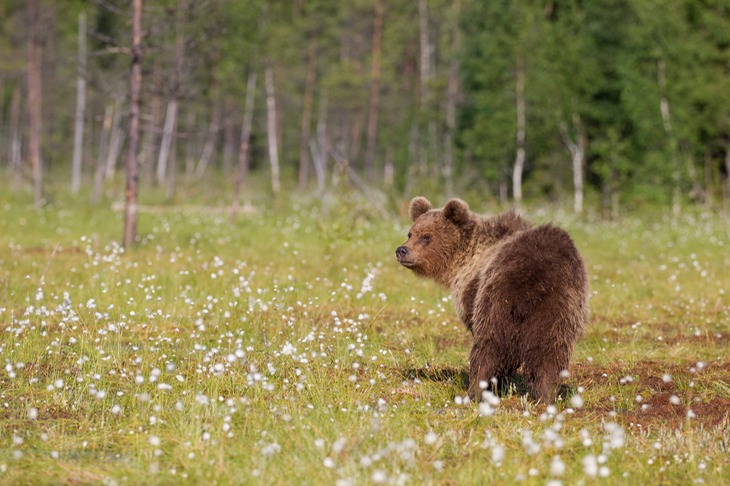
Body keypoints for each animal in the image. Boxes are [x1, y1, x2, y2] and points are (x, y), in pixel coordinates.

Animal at [392, 196, 584, 402]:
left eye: (426, 236)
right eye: (410, 233)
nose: (402, 250)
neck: (465, 259)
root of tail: (533, 279)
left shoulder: (472, 291)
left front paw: (499, 383)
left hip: (495, 299)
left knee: (489, 347)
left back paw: (475, 390)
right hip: (559, 307)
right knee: (551, 352)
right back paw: (546, 395)